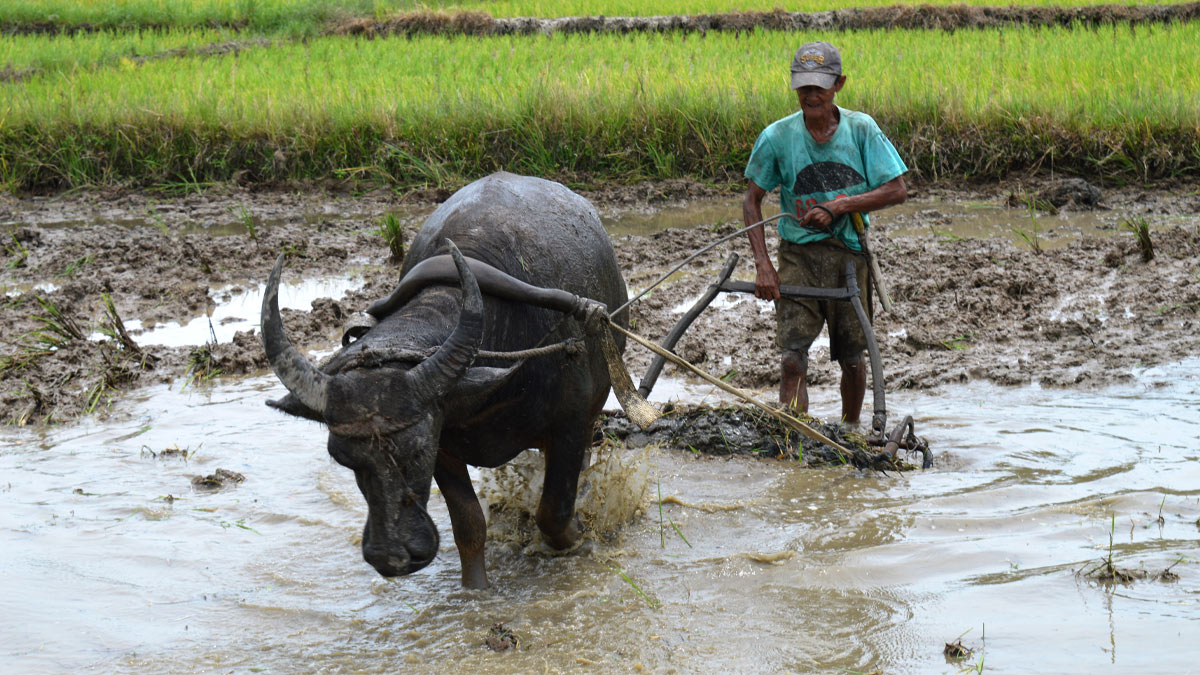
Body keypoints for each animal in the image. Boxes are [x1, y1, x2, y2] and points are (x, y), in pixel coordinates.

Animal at [261, 172, 627, 589]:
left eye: (417, 450)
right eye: (342, 458)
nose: (390, 557)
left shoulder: (571, 424)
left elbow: (554, 513)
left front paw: (582, 537)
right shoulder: (446, 444)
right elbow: (469, 527)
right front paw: (475, 590)